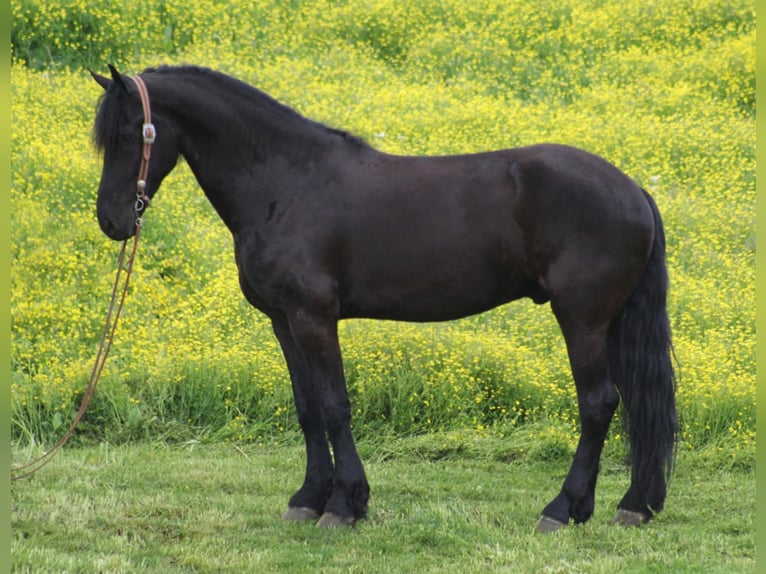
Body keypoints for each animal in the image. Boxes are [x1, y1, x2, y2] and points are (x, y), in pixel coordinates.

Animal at [88, 65, 680, 532]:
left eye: (129, 132)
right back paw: (627, 505)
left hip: (582, 318)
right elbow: (307, 408)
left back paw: (561, 509)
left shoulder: (313, 317)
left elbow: (334, 406)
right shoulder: (283, 320)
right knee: (632, 404)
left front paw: (345, 505)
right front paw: (308, 498)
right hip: (610, 321)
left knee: (599, 403)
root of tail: (633, 189)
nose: (113, 222)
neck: (287, 183)